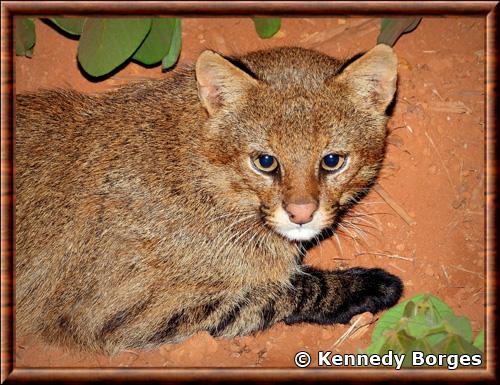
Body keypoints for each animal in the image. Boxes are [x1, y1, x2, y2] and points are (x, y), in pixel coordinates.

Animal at [15, 44, 402, 352]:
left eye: (332, 160)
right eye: (265, 162)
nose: (301, 213)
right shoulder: (123, 312)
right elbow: (278, 292)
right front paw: (369, 286)